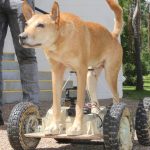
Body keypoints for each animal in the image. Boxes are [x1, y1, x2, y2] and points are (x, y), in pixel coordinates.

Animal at [19, 0, 123, 136]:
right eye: (26, 24)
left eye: (40, 25)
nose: (21, 36)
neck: (61, 41)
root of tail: (113, 36)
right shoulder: (56, 72)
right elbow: (56, 104)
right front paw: (55, 126)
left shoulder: (81, 71)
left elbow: (79, 105)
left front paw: (77, 127)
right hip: (91, 76)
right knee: (95, 100)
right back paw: (95, 113)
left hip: (110, 75)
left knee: (116, 99)